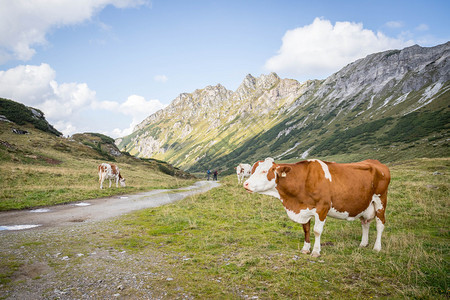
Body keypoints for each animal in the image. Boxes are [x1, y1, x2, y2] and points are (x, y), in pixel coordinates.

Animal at [244, 158, 388, 256]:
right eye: (252, 171)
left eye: (264, 171)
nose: (245, 184)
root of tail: (376, 162)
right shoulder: (304, 209)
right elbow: (306, 230)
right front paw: (305, 249)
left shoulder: (322, 207)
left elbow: (317, 231)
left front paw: (316, 251)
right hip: (365, 204)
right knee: (365, 223)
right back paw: (363, 244)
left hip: (380, 201)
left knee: (380, 224)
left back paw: (377, 247)